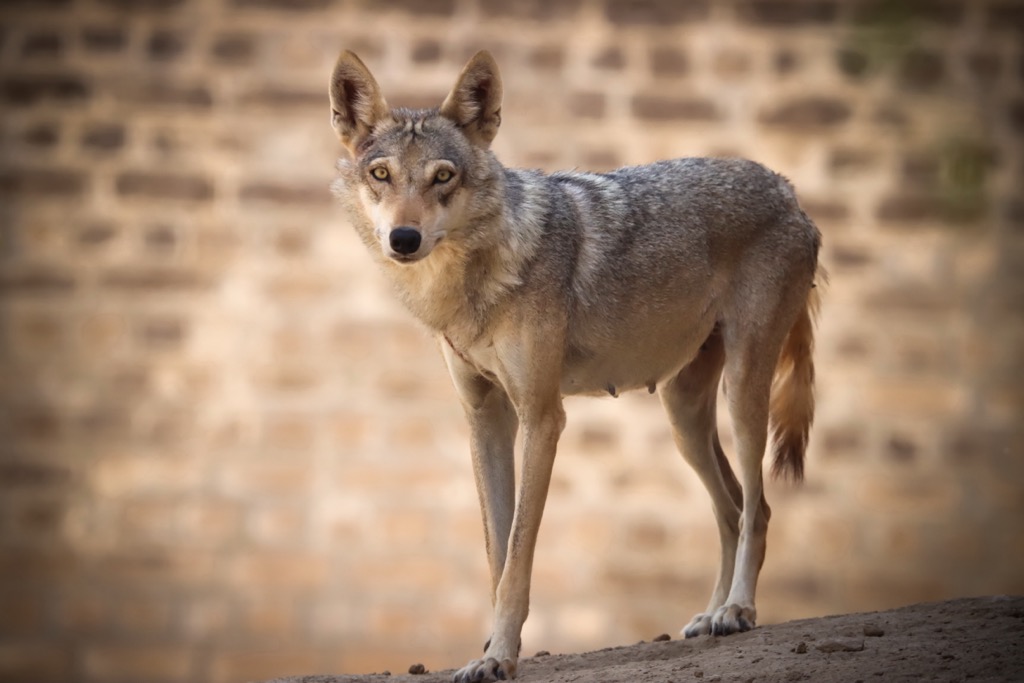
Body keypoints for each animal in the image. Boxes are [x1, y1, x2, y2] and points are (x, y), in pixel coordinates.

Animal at [328, 49, 823, 683]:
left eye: (443, 176)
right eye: (381, 175)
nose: (404, 238)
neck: (473, 284)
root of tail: (787, 190)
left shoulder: (543, 418)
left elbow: (518, 557)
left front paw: (500, 658)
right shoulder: (485, 420)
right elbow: (497, 554)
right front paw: (491, 649)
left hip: (742, 393)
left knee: (758, 509)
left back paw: (737, 610)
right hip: (683, 418)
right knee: (731, 510)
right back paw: (710, 616)